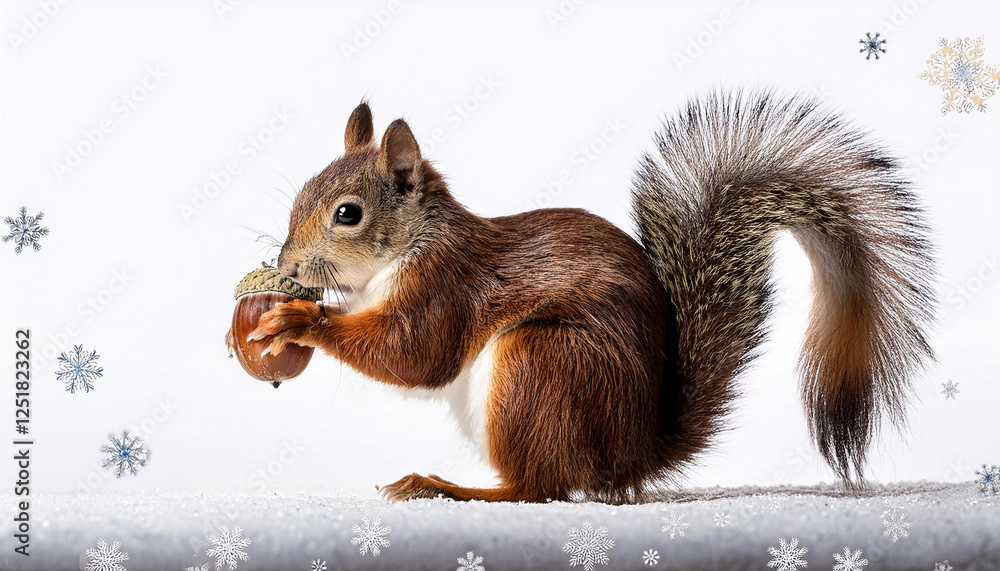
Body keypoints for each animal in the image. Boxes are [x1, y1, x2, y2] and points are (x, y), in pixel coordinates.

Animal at [240, 92, 935, 503]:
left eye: (347, 214)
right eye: (301, 192)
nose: (287, 265)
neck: (408, 249)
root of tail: (632, 457)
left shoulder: (447, 287)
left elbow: (414, 355)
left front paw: (301, 318)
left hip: (540, 363)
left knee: (537, 490)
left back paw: (448, 487)